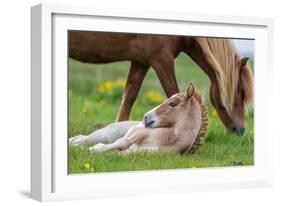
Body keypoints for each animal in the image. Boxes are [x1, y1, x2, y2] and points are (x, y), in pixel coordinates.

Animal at [69, 83, 207, 153]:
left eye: (172, 104)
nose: (145, 117)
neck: (167, 138)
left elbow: (120, 150)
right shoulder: (131, 137)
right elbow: (116, 144)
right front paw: (93, 149)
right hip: (105, 134)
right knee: (82, 138)